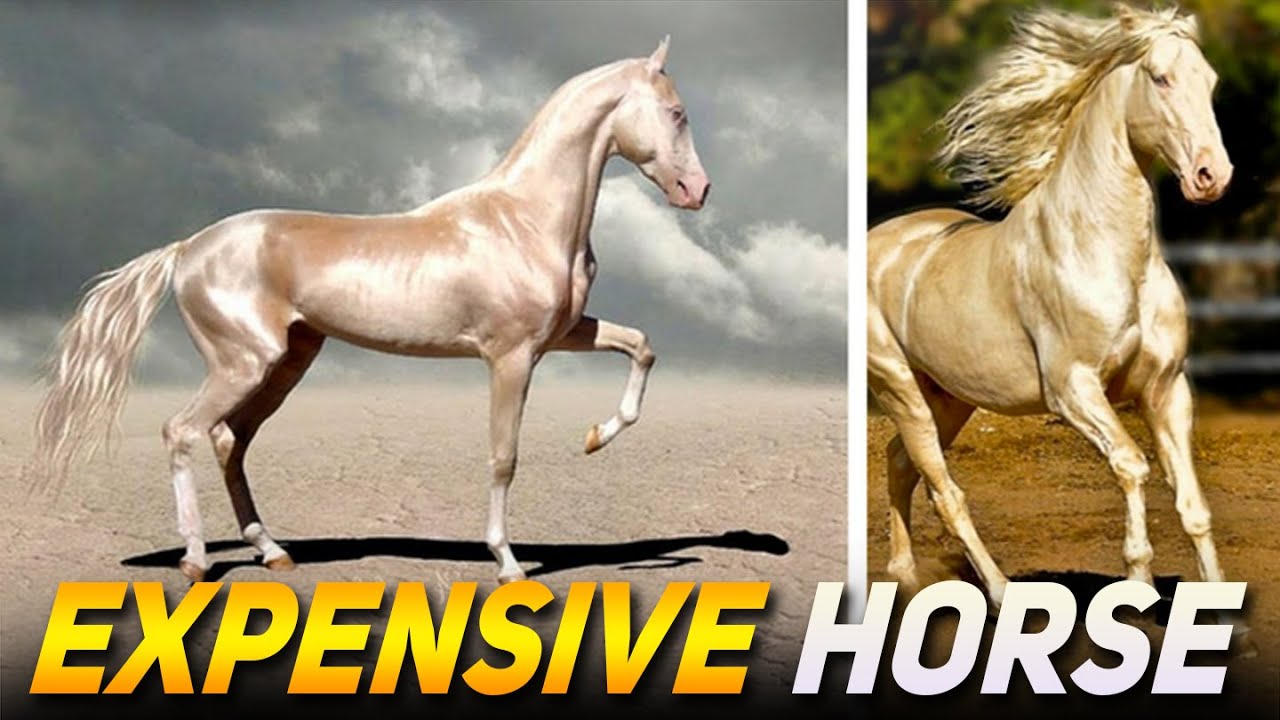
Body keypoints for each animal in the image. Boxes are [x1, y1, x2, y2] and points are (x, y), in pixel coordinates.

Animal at [31, 37, 711, 585]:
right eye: (677, 113)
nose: (697, 191)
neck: (524, 219)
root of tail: (188, 248)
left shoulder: (563, 335)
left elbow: (642, 345)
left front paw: (597, 437)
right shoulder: (511, 358)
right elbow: (503, 457)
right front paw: (509, 563)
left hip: (286, 363)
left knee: (230, 441)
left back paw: (273, 553)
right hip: (243, 363)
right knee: (183, 432)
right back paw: (196, 561)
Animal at [868, 6, 1239, 618]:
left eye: (1209, 82)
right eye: (1160, 78)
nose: (1212, 176)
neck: (1105, 252)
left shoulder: (1166, 389)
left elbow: (1193, 506)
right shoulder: (1073, 390)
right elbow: (1132, 467)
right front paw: (1137, 588)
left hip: (948, 398)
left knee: (901, 463)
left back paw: (906, 578)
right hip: (900, 389)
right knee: (945, 492)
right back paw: (998, 593)